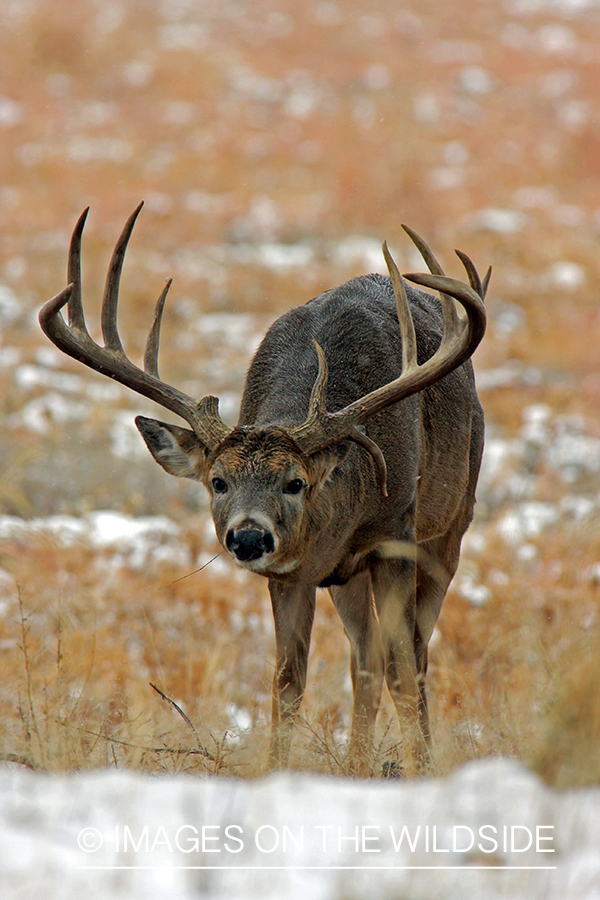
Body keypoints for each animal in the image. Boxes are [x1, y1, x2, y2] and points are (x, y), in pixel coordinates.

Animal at [38, 202, 488, 772]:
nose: (249, 538)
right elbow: (287, 682)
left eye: (295, 482)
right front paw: (276, 769)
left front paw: (424, 770)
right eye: (218, 481)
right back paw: (357, 763)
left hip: (451, 525)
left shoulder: (395, 534)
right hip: (346, 579)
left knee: (414, 652)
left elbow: (404, 671)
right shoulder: (293, 573)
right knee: (363, 657)